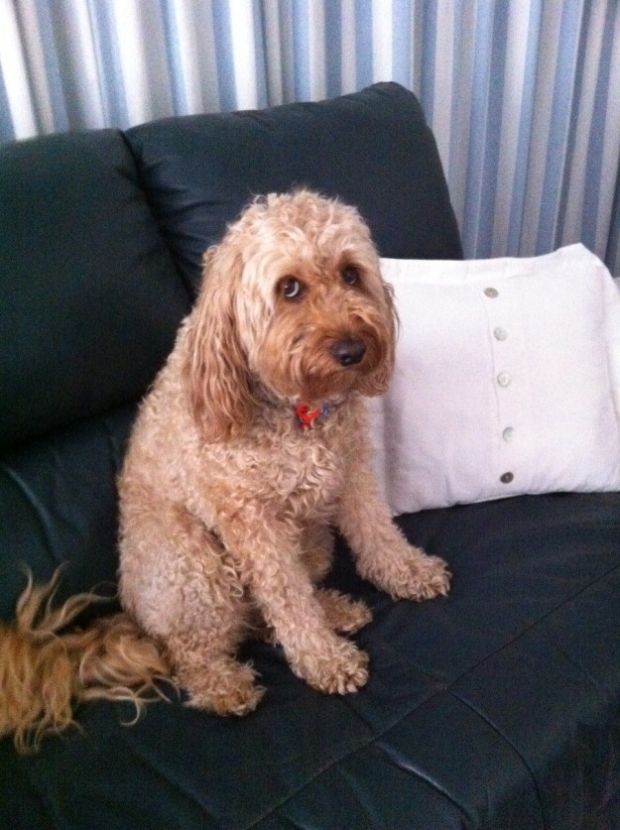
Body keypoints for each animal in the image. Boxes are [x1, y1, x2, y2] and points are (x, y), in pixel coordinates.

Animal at [0, 190, 450, 752]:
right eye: (289, 288)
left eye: (351, 274)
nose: (353, 350)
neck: (298, 409)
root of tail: (132, 622)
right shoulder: (252, 523)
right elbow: (286, 598)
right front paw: (323, 660)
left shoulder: (351, 473)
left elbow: (377, 533)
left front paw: (408, 573)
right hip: (196, 564)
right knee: (192, 651)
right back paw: (225, 685)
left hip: (311, 543)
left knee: (261, 617)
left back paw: (334, 609)